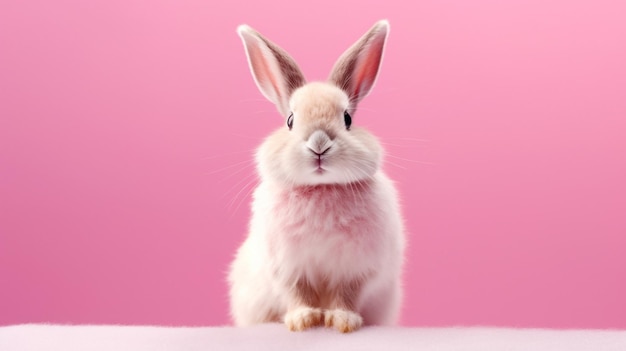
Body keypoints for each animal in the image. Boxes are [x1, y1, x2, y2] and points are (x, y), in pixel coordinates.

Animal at [228, 20, 404, 334]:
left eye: (347, 119)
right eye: (290, 120)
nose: (319, 144)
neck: (322, 188)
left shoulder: (356, 269)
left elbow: (345, 295)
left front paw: (343, 321)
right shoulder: (287, 267)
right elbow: (298, 293)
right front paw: (304, 320)